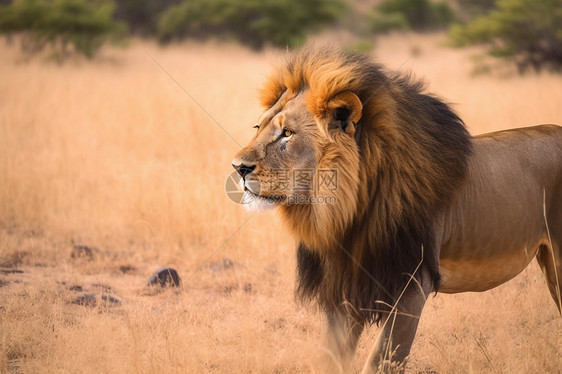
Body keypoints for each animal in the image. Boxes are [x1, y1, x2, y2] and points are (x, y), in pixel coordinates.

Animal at [230, 47, 556, 372]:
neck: (349, 215)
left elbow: (380, 361)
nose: (238, 167)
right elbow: (331, 359)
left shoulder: (413, 283)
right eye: (258, 128)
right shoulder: (345, 289)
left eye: (287, 133)